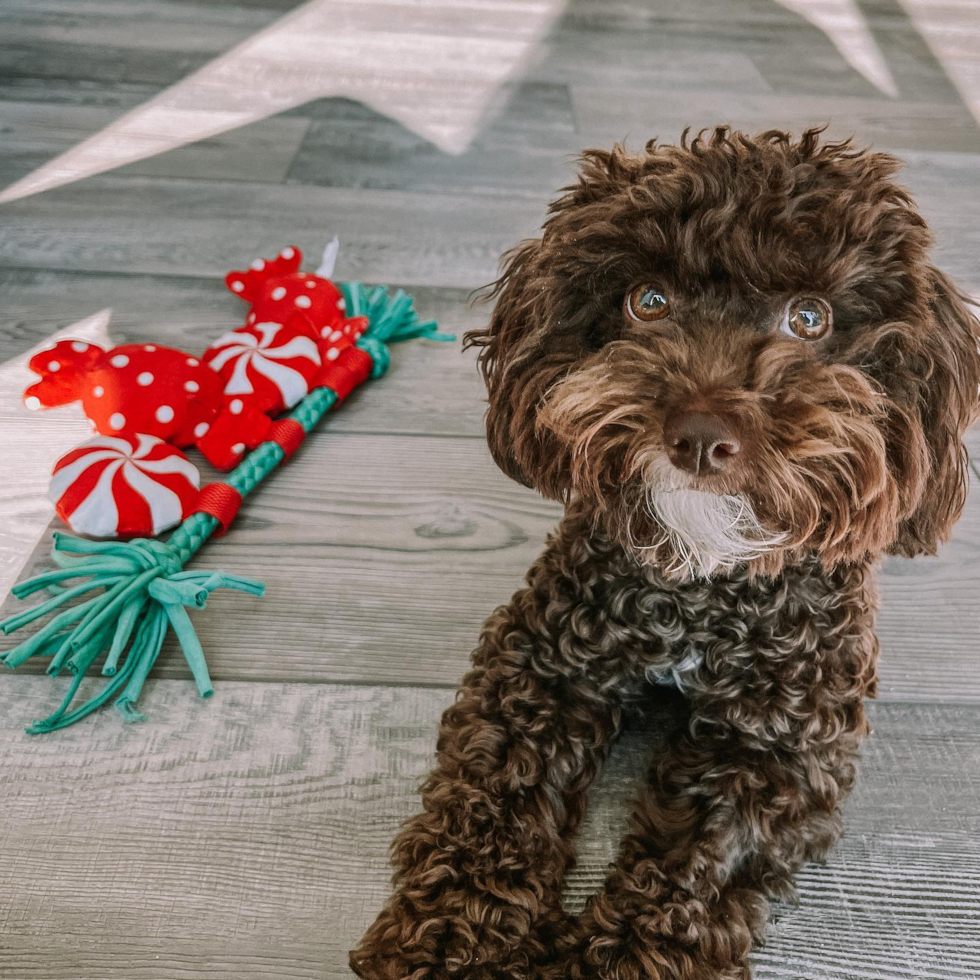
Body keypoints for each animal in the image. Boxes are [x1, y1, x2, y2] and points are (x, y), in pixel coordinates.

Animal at [350, 128, 980, 980]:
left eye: (810, 316)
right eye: (646, 301)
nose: (701, 434)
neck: (705, 583)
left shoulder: (783, 744)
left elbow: (694, 870)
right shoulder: (540, 662)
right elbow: (493, 799)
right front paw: (455, 942)